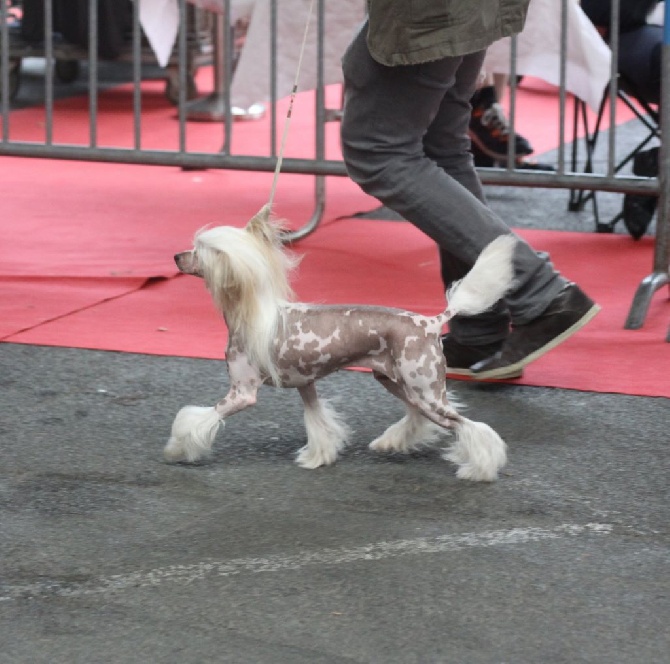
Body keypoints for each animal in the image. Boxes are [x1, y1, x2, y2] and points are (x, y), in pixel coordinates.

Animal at [165, 205, 516, 480]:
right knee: (422, 417)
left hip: (426, 391)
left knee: (469, 426)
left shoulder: (242, 393)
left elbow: (196, 420)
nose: (176, 256)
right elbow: (318, 422)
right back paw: (392, 443)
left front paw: (178, 449)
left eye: (199, 251)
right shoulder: (306, 384)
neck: (252, 313)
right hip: (397, 382)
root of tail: (431, 323)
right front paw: (318, 457)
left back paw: (480, 469)